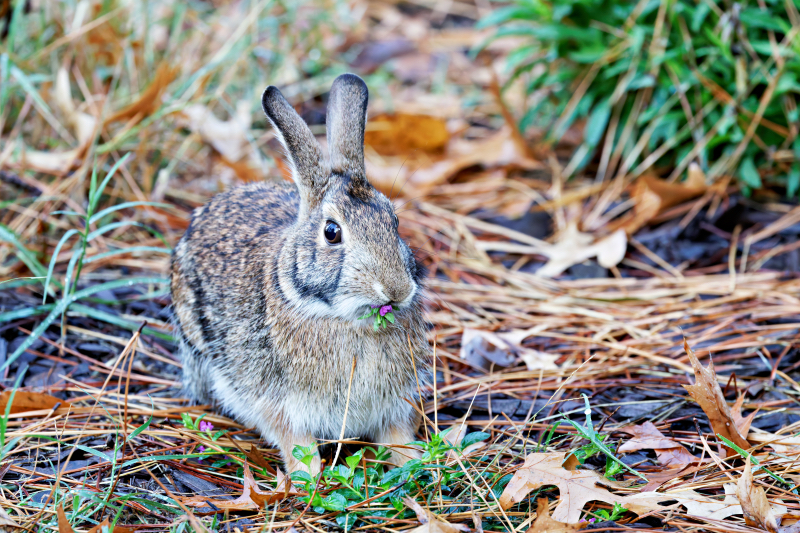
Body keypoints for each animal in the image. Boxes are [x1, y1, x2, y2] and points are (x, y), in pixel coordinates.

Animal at [170, 71, 432, 474]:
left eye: (394, 221)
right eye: (332, 232)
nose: (397, 290)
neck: (346, 319)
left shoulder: (395, 402)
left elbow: (397, 435)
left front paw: (414, 463)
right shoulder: (275, 402)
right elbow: (295, 442)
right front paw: (307, 476)